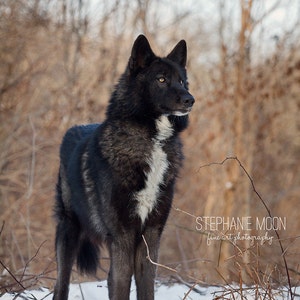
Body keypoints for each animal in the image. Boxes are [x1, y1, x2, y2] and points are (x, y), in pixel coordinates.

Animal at [53, 34, 195, 298]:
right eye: (161, 79)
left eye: (182, 81)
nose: (190, 99)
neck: (152, 142)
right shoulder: (123, 236)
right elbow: (120, 285)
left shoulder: (151, 235)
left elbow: (146, 286)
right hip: (67, 232)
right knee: (61, 284)